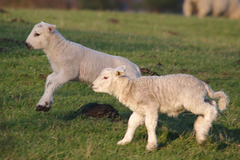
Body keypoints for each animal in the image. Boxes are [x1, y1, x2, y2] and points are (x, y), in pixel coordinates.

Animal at [91, 65, 228, 151]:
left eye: (105, 77)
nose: (92, 85)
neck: (131, 88)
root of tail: (202, 83)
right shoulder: (140, 110)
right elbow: (132, 123)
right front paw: (125, 141)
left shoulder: (151, 106)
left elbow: (150, 125)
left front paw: (151, 145)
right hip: (198, 99)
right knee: (212, 104)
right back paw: (200, 127)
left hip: (192, 101)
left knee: (210, 110)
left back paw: (202, 136)